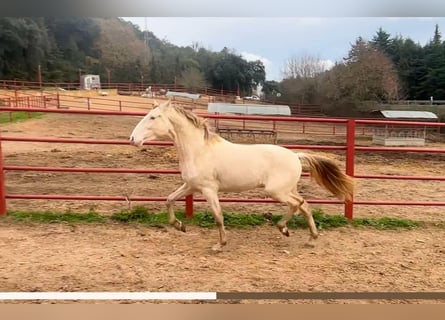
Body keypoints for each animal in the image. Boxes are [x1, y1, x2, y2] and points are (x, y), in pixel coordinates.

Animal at [129, 99, 354, 250]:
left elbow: (218, 216)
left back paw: (285, 229)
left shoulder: (209, 189)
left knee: (297, 205)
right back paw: (307, 238)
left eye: (153, 117)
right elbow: (169, 199)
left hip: (276, 191)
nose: (133, 139)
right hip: (288, 189)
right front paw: (180, 226)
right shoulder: (191, 186)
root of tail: (296, 155)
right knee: (304, 205)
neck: (199, 150)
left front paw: (220, 244)